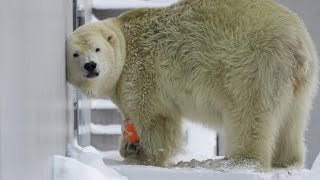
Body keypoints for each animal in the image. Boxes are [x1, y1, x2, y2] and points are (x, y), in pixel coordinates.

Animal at [66, 0, 318, 169]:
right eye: (75, 53)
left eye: (97, 48)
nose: (90, 66)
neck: (126, 38)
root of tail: (297, 45)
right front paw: (129, 146)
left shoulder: (140, 71)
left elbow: (155, 118)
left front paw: (145, 157)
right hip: (301, 81)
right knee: (293, 118)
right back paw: (287, 161)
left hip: (253, 65)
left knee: (249, 114)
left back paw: (240, 161)